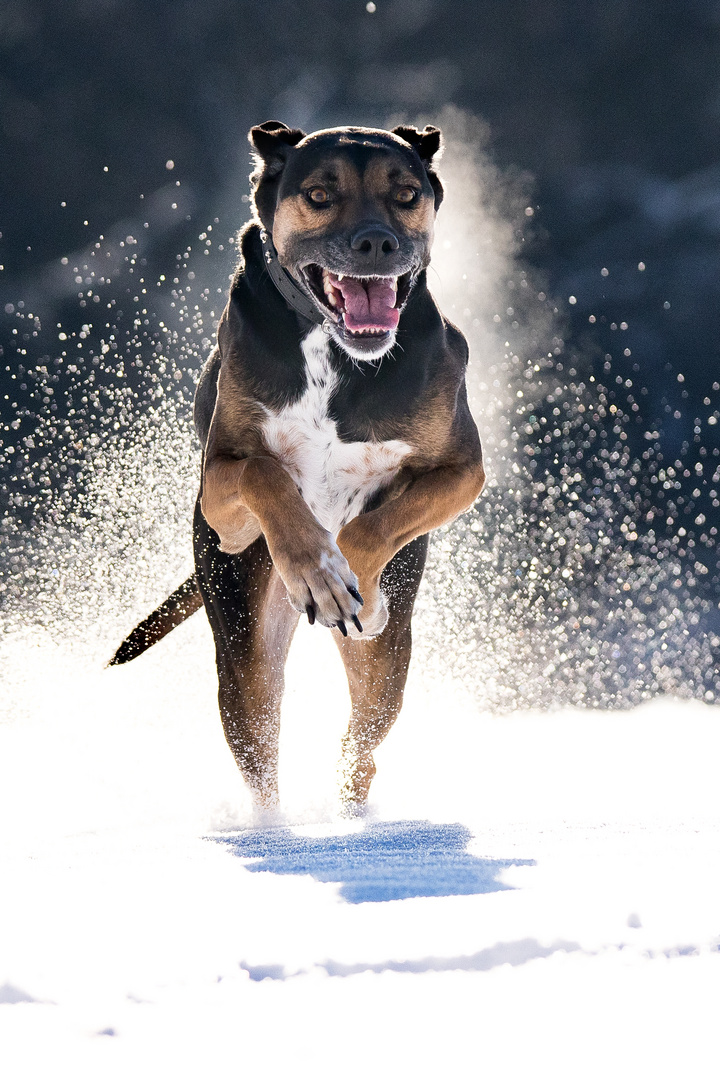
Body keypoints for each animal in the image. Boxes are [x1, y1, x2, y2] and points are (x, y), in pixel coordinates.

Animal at [111, 122, 483, 812]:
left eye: (406, 193)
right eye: (318, 194)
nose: (375, 242)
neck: (334, 352)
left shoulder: (463, 470)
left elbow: (370, 526)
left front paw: (346, 580)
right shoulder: (222, 495)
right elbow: (266, 472)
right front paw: (318, 569)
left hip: (388, 660)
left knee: (362, 744)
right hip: (242, 636)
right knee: (260, 740)